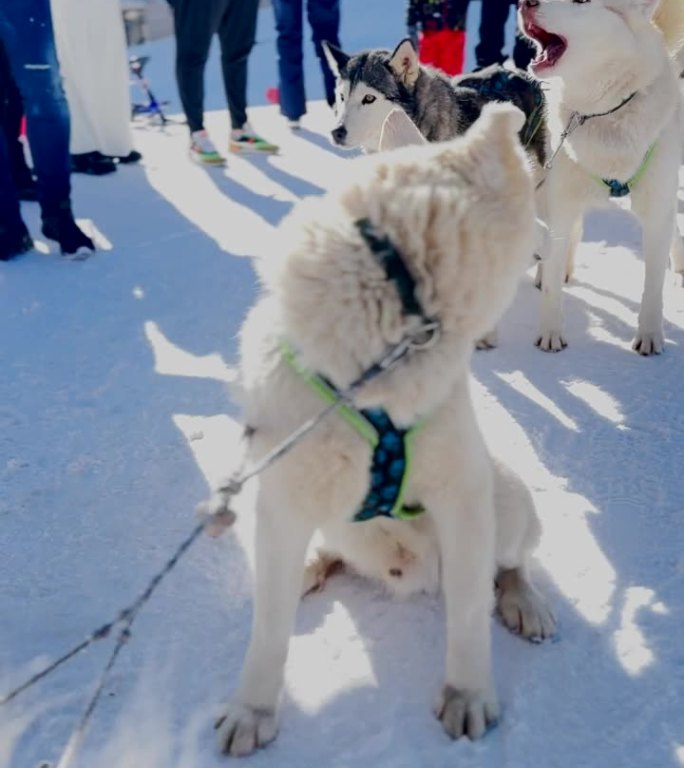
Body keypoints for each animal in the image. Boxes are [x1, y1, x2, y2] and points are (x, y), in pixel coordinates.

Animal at [208, 105, 556, 760]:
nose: (556, 246)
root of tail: (408, 573)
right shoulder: (282, 500)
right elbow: (267, 632)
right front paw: (252, 708)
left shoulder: (464, 495)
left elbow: (468, 614)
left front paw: (468, 693)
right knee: (326, 554)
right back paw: (313, 565)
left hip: (506, 496)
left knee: (509, 563)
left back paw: (522, 599)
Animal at [520, 0, 684, 354]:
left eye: (581, 2)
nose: (525, 3)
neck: (601, 112)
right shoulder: (561, 200)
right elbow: (553, 280)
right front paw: (551, 332)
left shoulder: (656, 211)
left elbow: (653, 285)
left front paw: (650, 335)